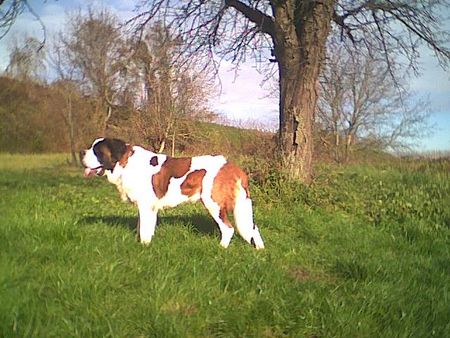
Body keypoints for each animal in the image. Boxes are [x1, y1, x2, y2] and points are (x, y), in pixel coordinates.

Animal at [80, 136, 264, 250]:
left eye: (97, 151)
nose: (82, 152)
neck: (125, 163)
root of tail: (231, 166)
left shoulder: (146, 206)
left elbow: (144, 230)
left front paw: (144, 247)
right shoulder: (147, 207)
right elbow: (143, 227)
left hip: (213, 203)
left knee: (228, 228)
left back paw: (220, 249)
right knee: (252, 227)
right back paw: (259, 250)